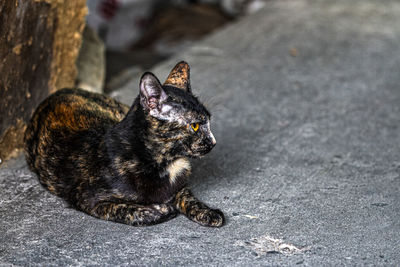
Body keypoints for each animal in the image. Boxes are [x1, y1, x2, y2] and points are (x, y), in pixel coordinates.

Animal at [24, 61, 225, 227]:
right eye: (195, 126)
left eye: (208, 121)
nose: (214, 142)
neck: (164, 163)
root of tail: (58, 92)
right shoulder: (87, 199)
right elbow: (128, 210)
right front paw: (159, 209)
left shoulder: (180, 186)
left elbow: (187, 197)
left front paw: (208, 212)